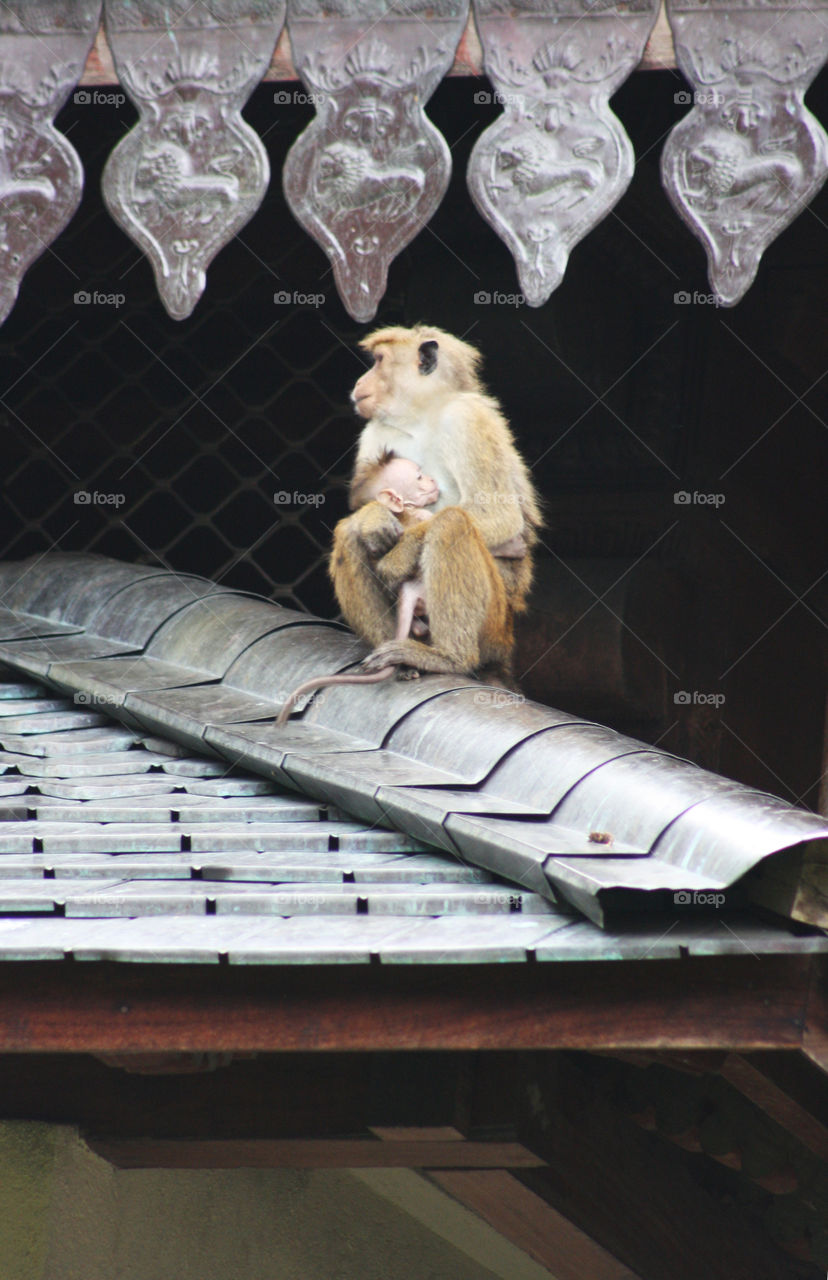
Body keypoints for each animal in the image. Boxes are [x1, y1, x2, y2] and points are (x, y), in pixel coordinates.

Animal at [332, 325, 540, 675]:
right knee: (349, 534)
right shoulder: (376, 430)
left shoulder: (466, 417)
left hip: (495, 625)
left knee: (451, 523)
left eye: (378, 361)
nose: (360, 382)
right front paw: (373, 518)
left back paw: (449, 657)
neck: (420, 416)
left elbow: (498, 514)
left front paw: (400, 554)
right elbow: (364, 503)